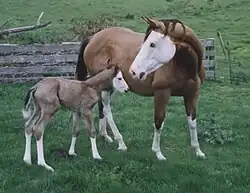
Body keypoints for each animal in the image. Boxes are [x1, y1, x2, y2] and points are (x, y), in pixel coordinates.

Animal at [75, 17, 206, 160]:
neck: (183, 65)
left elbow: (192, 121)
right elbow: (159, 121)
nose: (133, 71)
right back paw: (120, 142)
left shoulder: (192, 94)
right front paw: (158, 153)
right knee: (107, 109)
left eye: (152, 44)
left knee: (102, 107)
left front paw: (198, 151)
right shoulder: (162, 93)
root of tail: (92, 38)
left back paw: (105, 136)